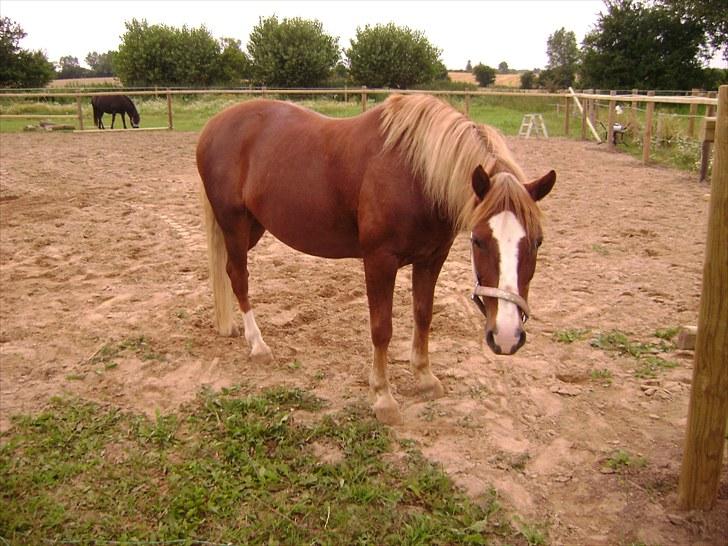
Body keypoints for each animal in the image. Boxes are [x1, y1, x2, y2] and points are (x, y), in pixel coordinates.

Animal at [196, 94, 556, 424]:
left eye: (537, 241)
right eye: (479, 241)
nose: (506, 336)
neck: (415, 175)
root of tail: (213, 126)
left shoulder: (431, 259)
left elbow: (423, 316)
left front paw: (425, 377)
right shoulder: (379, 261)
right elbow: (382, 328)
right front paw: (383, 397)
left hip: (253, 227)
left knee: (228, 272)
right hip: (234, 223)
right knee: (239, 276)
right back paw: (257, 345)